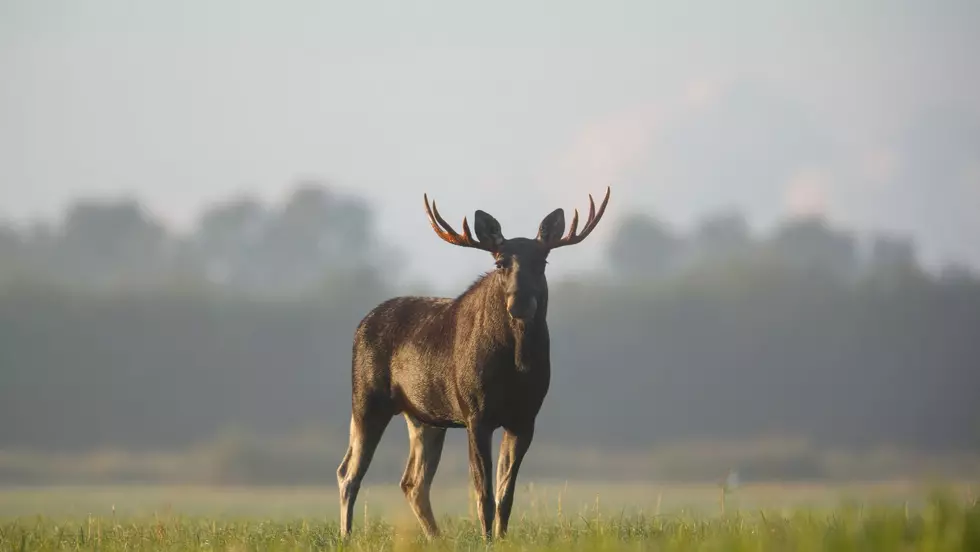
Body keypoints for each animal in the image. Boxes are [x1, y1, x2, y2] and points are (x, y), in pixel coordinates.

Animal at [336, 185, 612, 540]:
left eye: (543, 260)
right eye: (500, 262)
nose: (520, 302)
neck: (517, 365)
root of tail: (361, 324)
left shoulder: (525, 417)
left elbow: (506, 494)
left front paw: (503, 538)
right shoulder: (475, 413)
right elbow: (484, 493)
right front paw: (487, 539)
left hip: (424, 417)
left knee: (412, 482)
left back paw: (436, 538)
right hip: (367, 398)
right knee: (349, 472)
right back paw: (346, 535)